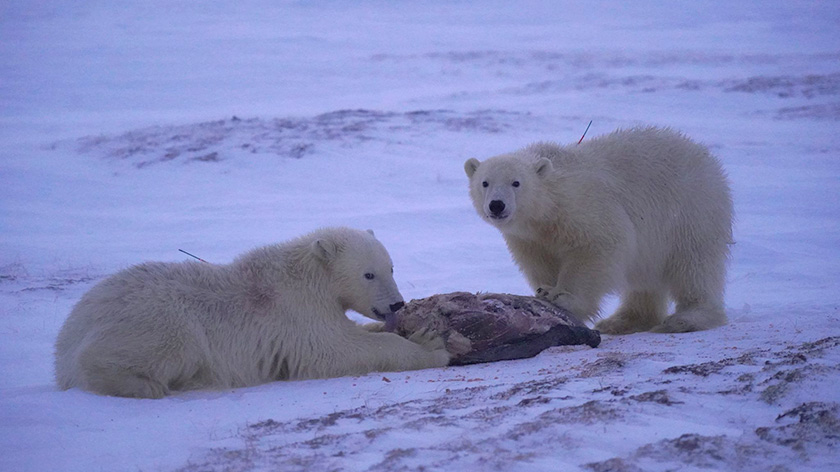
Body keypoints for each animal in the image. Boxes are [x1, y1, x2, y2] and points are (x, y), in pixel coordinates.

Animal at [55, 227, 450, 396]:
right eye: (368, 274)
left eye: (391, 267)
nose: (396, 304)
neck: (308, 274)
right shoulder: (296, 311)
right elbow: (335, 350)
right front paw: (432, 345)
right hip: (157, 316)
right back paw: (143, 386)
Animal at [462, 125, 732, 332]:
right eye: (485, 183)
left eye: (516, 183)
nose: (497, 205)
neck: (550, 206)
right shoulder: (529, 238)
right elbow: (539, 262)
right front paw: (544, 290)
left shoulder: (583, 207)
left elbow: (597, 247)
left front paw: (562, 298)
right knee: (644, 280)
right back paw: (623, 321)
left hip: (690, 212)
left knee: (693, 265)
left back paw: (687, 318)